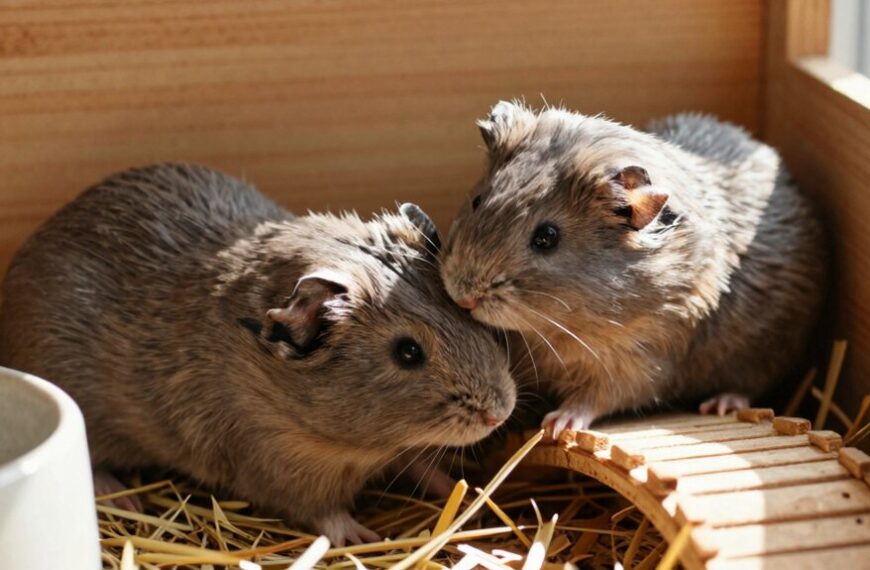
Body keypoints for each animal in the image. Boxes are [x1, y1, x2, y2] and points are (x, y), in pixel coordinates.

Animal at [0, 163, 516, 545]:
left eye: (458, 310)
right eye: (407, 352)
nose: (500, 410)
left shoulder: (399, 452)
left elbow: (422, 464)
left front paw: (464, 488)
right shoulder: (275, 468)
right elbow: (323, 513)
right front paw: (360, 536)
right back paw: (123, 496)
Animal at [440, 102, 825, 436]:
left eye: (546, 237)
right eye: (477, 201)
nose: (462, 296)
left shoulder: (639, 363)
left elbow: (595, 398)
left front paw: (557, 424)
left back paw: (720, 404)